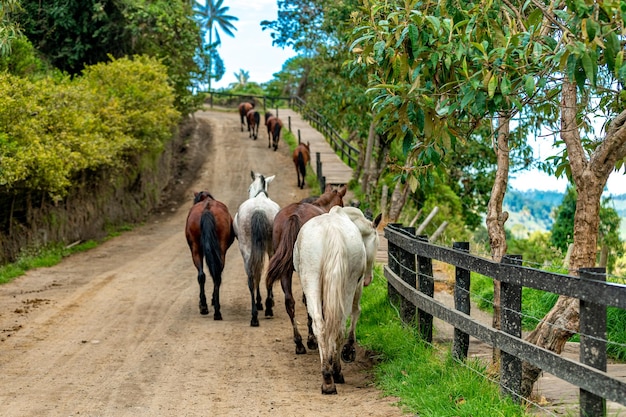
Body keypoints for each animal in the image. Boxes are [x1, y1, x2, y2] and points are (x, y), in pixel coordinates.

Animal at [233, 171, 280, 326]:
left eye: (248, 189)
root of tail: (258, 209)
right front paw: (265, 303)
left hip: (247, 248)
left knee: (251, 277)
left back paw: (254, 316)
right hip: (270, 247)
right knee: (262, 273)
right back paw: (267, 308)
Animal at [264, 184, 346, 352]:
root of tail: (294, 215)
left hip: (286, 271)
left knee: (289, 302)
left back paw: (299, 342)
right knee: (308, 302)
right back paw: (310, 339)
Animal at [292, 205, 380, 394]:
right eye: (377, 244)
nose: (369, 279)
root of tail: (332, 232)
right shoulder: (357, 285)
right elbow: (356, 311)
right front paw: (348, 350)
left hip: (312, 281)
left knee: (321, 325)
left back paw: (327, 377)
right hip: (348, 285)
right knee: (339, 326)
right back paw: (336, 372)